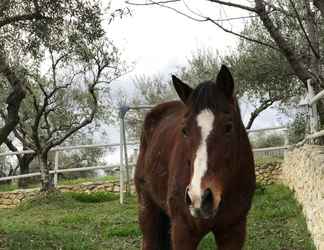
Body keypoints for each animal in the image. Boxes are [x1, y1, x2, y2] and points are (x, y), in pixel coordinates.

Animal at [134, 65, 256, 249]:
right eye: (184, 130)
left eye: (228, 127)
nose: (199, 197)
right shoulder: (183, 232)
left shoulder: (234, 231)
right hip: (147, 210)